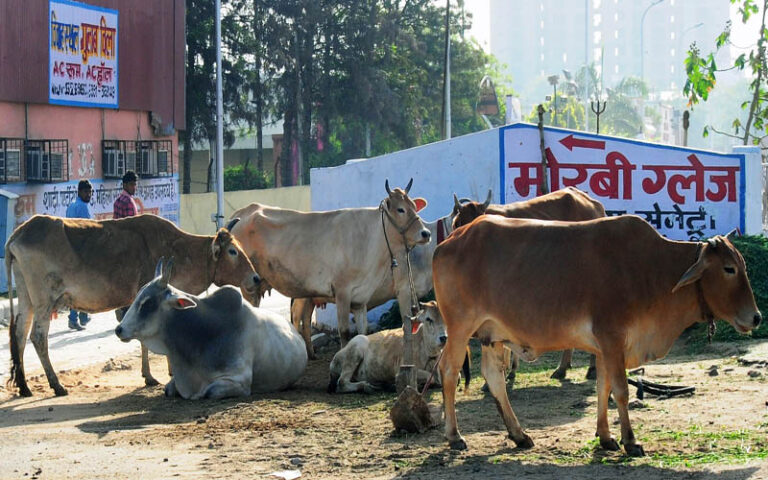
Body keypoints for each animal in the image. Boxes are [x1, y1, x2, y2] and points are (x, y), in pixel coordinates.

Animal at [5, 214, 261, 397]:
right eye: (233, 251)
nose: (256, 278)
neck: (180, 249)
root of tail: (19, 233)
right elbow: (145, 341)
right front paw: (152, 376)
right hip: (44, 302)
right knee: (38, 336)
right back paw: (56, 385)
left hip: (27, 299)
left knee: (19, 334)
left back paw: (24, 386)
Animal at [228, 179, 430, 347]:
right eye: (400, 209)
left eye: (414, 206)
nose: (426, 233)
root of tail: (243, 212)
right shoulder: (342, 292)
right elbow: (345, 332)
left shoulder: (360, 299)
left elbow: (362, 333)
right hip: (248, 286)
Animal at [433, 214, 761, 456]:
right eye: (729, 269)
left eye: (743, 266)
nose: (756, 317)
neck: (653, 269)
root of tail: (451, 239)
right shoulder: (613, 339)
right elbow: (621, 391)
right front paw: (631, 441)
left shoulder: (605, 348)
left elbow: (603, 388)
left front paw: (605, 437)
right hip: (460, 328)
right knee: (448, 371)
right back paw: (454, 436)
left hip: (492, 335)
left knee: (494, 377)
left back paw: (519, 435)